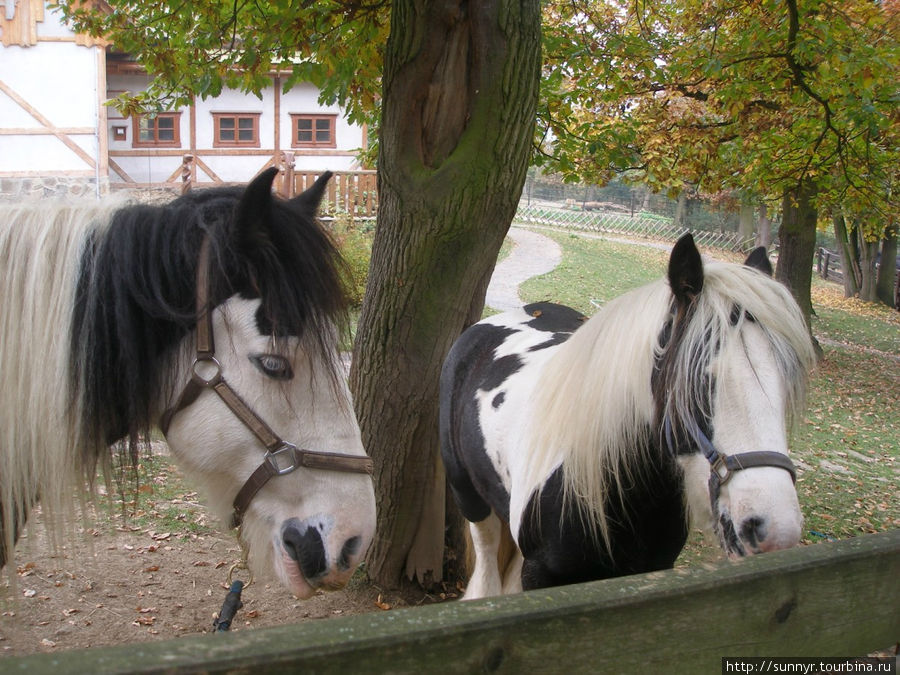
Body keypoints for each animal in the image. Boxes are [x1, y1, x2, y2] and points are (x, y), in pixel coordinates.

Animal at [440, 234, 820, 596]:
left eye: (786, 378)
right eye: (696, 379)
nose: (773, 528)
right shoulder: (541, 575)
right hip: (469, 498)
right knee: (487, 559)